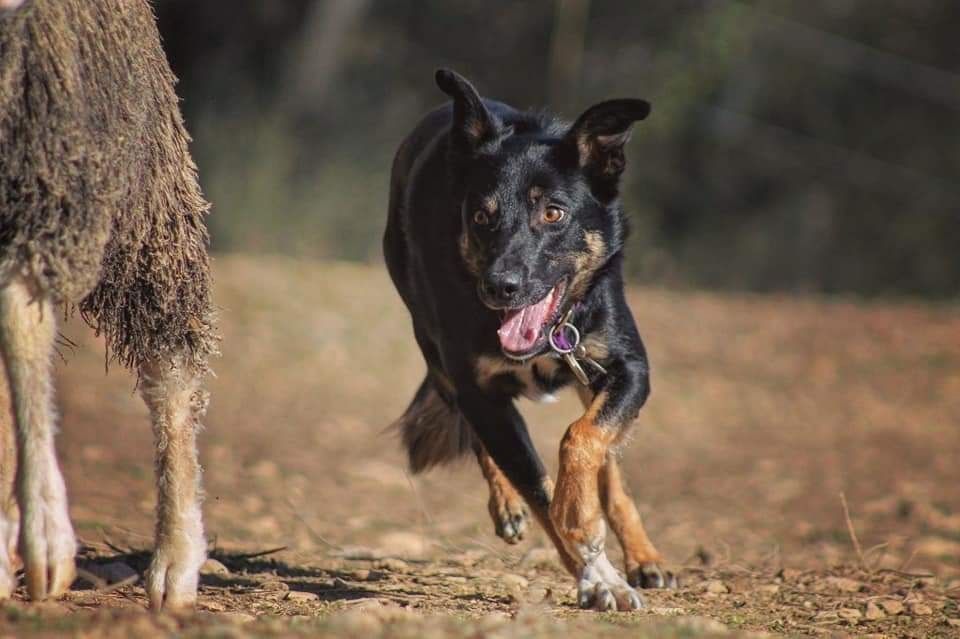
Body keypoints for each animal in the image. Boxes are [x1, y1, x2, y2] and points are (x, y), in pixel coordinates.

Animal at [378, 67, 672, 612]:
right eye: (481, 216)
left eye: (553, 213)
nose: (500, 286)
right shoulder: (478, 391)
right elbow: (537, 486)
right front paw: (595, 574)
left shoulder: (627, 369)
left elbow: (582, 441)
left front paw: (584, 523)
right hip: (436, 354)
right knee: (486, 443)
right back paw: (510, 507)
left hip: (589, 378)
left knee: (608, 463)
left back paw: (643, 555)